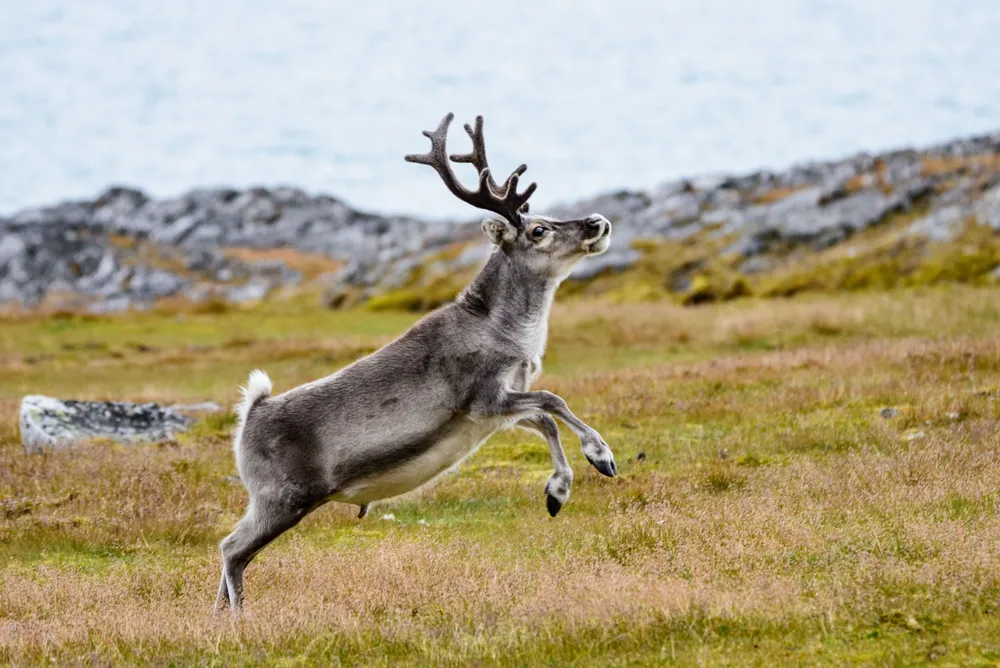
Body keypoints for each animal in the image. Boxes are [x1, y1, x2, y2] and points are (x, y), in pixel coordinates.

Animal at [215, 113, 617, 613]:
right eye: (538, 230)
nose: (598, 222)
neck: (509, 333)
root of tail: (251, 412)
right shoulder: (485, 396)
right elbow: (554, 401)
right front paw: (600, 458)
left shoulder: (493, 410)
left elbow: (544, 418)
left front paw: (558, 491)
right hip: (283, 498)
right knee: (232, 549)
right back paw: (240, 618)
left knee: (234, 551)